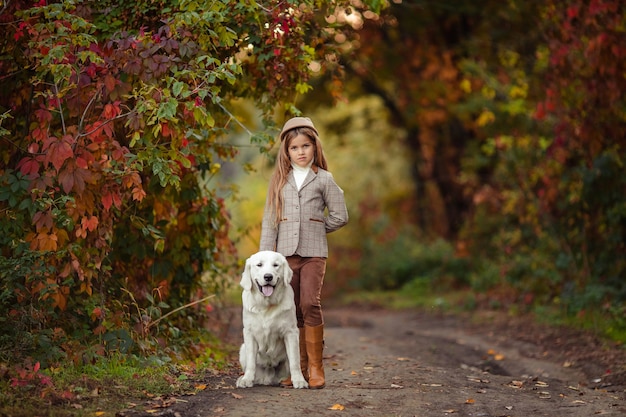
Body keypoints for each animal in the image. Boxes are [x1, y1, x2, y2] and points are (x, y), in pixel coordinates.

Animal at [234, 249, 308, 388]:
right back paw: (243, 378)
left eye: (275, 265)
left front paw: (299, 380)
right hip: (242, 349)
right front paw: (246, 379)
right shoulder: (249, 333)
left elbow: (295, 361)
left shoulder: (291, 332)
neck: (266, 305)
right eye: (259, 265)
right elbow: (251, 361)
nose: (268, 277)